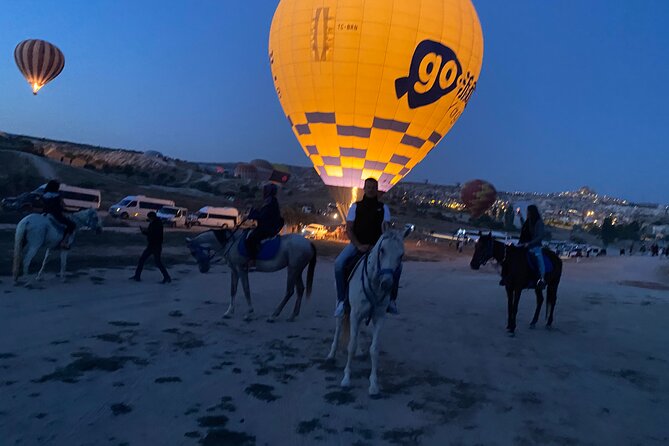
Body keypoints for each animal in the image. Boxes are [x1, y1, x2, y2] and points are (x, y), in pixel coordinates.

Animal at [184, 230, 318, 320]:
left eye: (193, 252)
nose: (203, 269)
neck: (231, 243)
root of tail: (308, 243)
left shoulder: (242, 269)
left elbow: (246, 289)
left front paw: (249, 312)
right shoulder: (234, 270)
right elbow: (233, 290)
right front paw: (229, 312)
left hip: (293, 270)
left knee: (289, 291)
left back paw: (274, 315)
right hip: (297, 270)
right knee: (300, 289)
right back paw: (292, 315)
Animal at [326, 228, 410, 396]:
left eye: (401, 255)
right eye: (382, 250)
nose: (387, 284)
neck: (374, 282)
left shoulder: (379, 317)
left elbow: (374, 349)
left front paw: (373, 384)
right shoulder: (354, 314)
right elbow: (350, 345)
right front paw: (346, 379)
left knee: (357, 333)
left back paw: (359, 351)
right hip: (342, 306)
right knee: (339, 327)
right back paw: (332, 354)